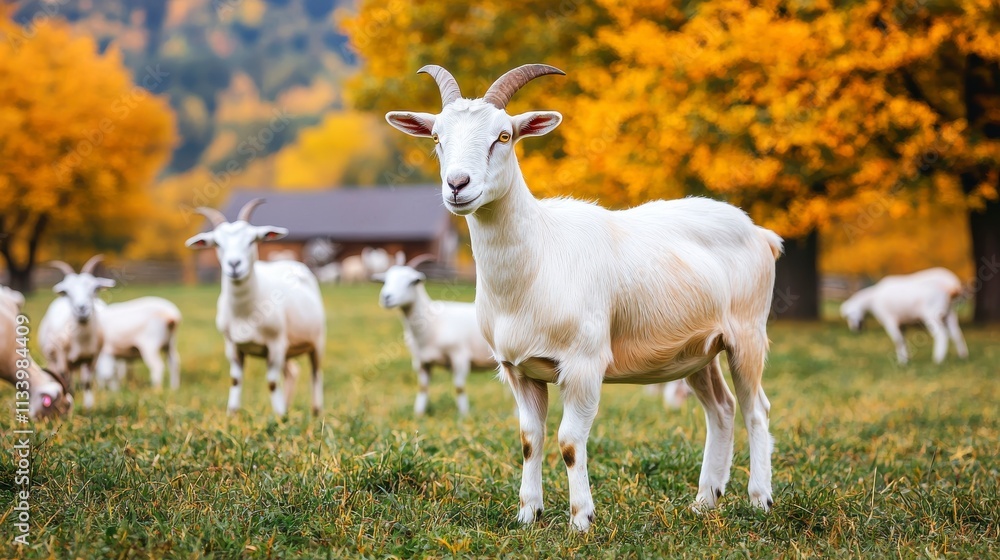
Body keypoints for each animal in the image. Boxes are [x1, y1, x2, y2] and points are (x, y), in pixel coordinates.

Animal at [37, 255, 114, 410]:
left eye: (95, 288)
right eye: (67, 292)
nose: (82, 308)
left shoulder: (92, 358)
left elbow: (87, 383)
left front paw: (89, 408)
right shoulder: (62, 358)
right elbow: (65, 381)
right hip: (52, 358)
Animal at [186, 198, 325, 416]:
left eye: (252, 240)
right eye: (217, 243)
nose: (234, 265)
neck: (246, 314)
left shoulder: (276, 344)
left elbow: (272, 383)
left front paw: (279, 417)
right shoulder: (232, 346)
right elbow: (236, 380)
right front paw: (232, 415)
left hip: (317, 340)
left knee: (316, 373)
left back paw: (317, 411)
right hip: (288, 349)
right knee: (293, 372)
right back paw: (287, 405)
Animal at [374, 254, 496, 416]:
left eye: (412, 282)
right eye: (385, 280)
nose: (386, 297)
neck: (433, 323)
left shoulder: (460, 357)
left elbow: (459, 388)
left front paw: (464, 416)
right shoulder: (421, 362)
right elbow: (423, 388)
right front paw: (418, 414)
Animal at [387, 64, 782, 531]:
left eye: (504, 135)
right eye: (436, 137)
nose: (457, 185)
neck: (538, 258)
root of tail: (761, 233)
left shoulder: (583, 363)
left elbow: (570, 441)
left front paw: (581, 519)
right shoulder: (518, 369)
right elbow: (530, 439)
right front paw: (528, 514)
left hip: (747, 333)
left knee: (756, 408)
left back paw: (759, 499)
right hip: (697, 348)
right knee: (721, 409)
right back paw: (705, 501)